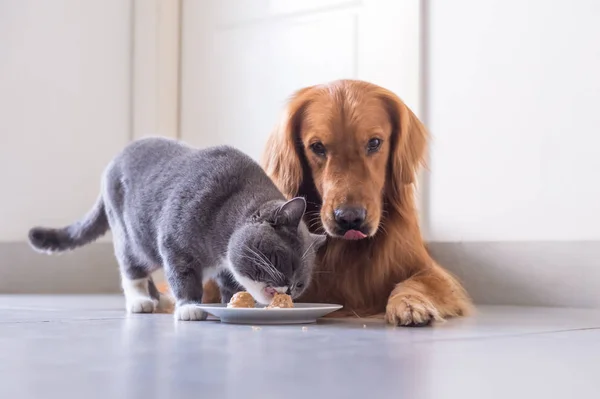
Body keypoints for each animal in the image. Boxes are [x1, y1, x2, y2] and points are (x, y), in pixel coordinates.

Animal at [28, 138, 326, 322]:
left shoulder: (226, 267)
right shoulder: (176, 246)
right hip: (133, 237)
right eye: (282, 260)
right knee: (132, 269)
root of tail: (114, 161)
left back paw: (160, 300)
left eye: (299, 284)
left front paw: (233, 303)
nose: (288, 290)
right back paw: (141, 301)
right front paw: (190, 306)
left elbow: (231, 284)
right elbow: (183, 277)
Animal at [262, 79, 474, 326]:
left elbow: (416, 282)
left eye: (374, 143)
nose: (349, 218)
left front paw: (409, 303)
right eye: (317, 147)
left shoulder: (432, 271)